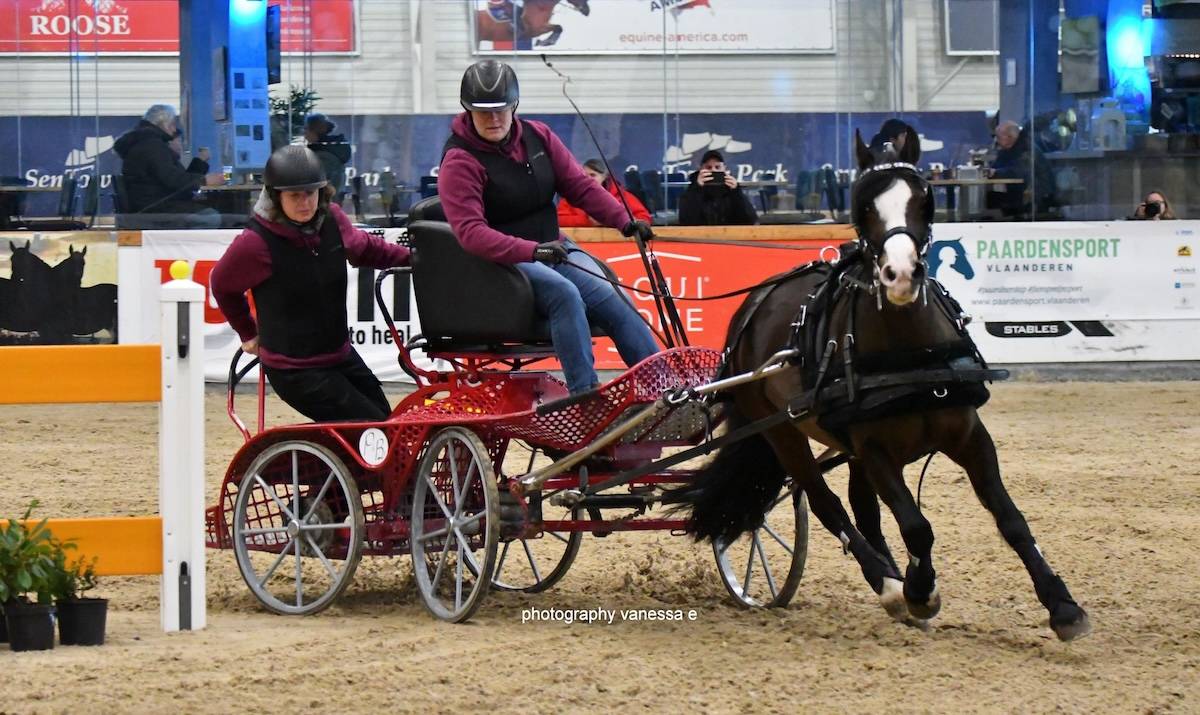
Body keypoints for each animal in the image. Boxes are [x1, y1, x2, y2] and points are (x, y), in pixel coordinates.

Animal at [675, 126, 1090, 641]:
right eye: (862, 203)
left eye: (925, 198)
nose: (900, 274)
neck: (911, 355)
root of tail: (755, 302)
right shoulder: (874, 449)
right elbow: (916, 525)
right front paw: (920, 591)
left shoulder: (969, 435)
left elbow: (1009, 518)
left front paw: (1063, 605)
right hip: (782, 432)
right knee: (825, 502)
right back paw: (890, 585)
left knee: (863, 509)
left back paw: (894, 576)